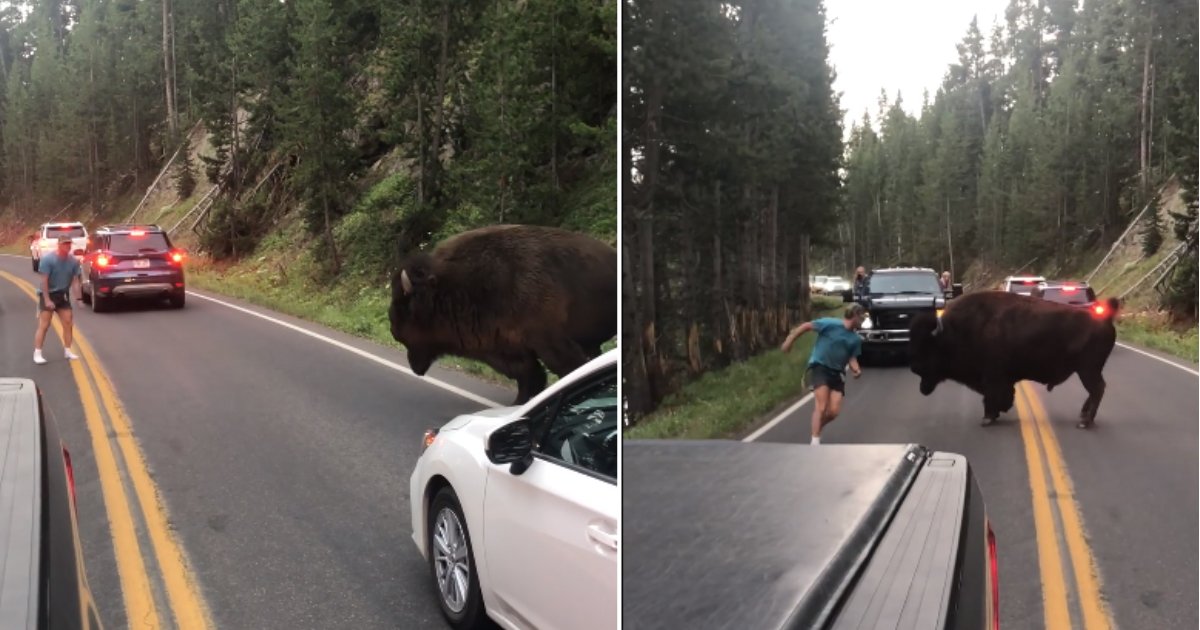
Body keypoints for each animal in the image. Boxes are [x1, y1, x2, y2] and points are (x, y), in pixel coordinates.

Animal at [388, 223, 619, 405]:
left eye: (406, 307)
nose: (393, 328)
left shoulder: (550, 342)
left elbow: (568, 369)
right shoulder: (506, 348)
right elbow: (529, 376)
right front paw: (519, 403)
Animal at [912, 290, 1118, 427]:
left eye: (928, 346)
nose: (915, 368)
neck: (954, 331)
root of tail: (1106, 320)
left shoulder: (992, 377)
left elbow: (991, 396)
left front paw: (987, 418)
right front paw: (994, 415)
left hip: (1087, 370)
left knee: (1097, 389)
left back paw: (1085, 422)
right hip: (1087, 370)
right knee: (1095, 390)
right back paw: (1083, 416)